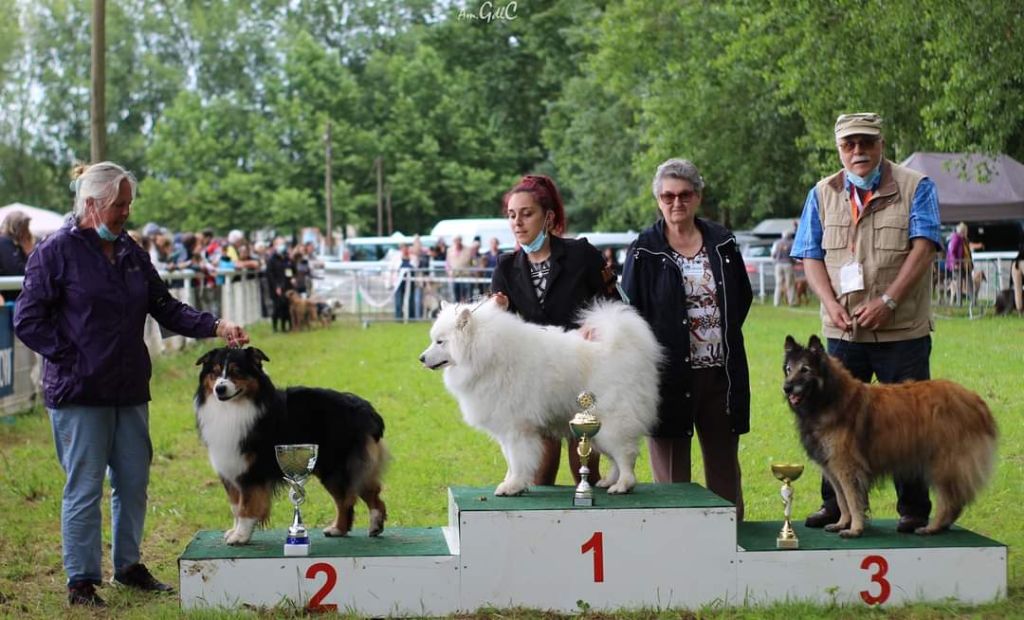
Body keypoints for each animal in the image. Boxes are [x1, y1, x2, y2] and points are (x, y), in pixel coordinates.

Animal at [419, 297, 659, 496]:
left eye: (440, 341)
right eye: (433, 340)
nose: (421, 358)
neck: (489, 355)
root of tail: (622, 348)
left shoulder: (517, 429)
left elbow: (518, 461)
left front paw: (513, 486)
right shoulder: (506, 429)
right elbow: (510, 460)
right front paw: (509, 482)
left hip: (611, 423)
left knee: (625, 455)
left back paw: (623, 485)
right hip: (600, 431)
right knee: (616, 458)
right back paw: (609, 481)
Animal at [782, 336, 991, 532]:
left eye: (805, 369)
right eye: (788, 369)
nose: (786, 387)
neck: (828, 398)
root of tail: (975, 400)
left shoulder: (847, 466)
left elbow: (852, 500)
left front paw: (855, 529)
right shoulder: (832, 468)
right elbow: (842, 501)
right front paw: (842, 524)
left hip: (941, 464)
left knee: (949, 501)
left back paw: (931, 528)